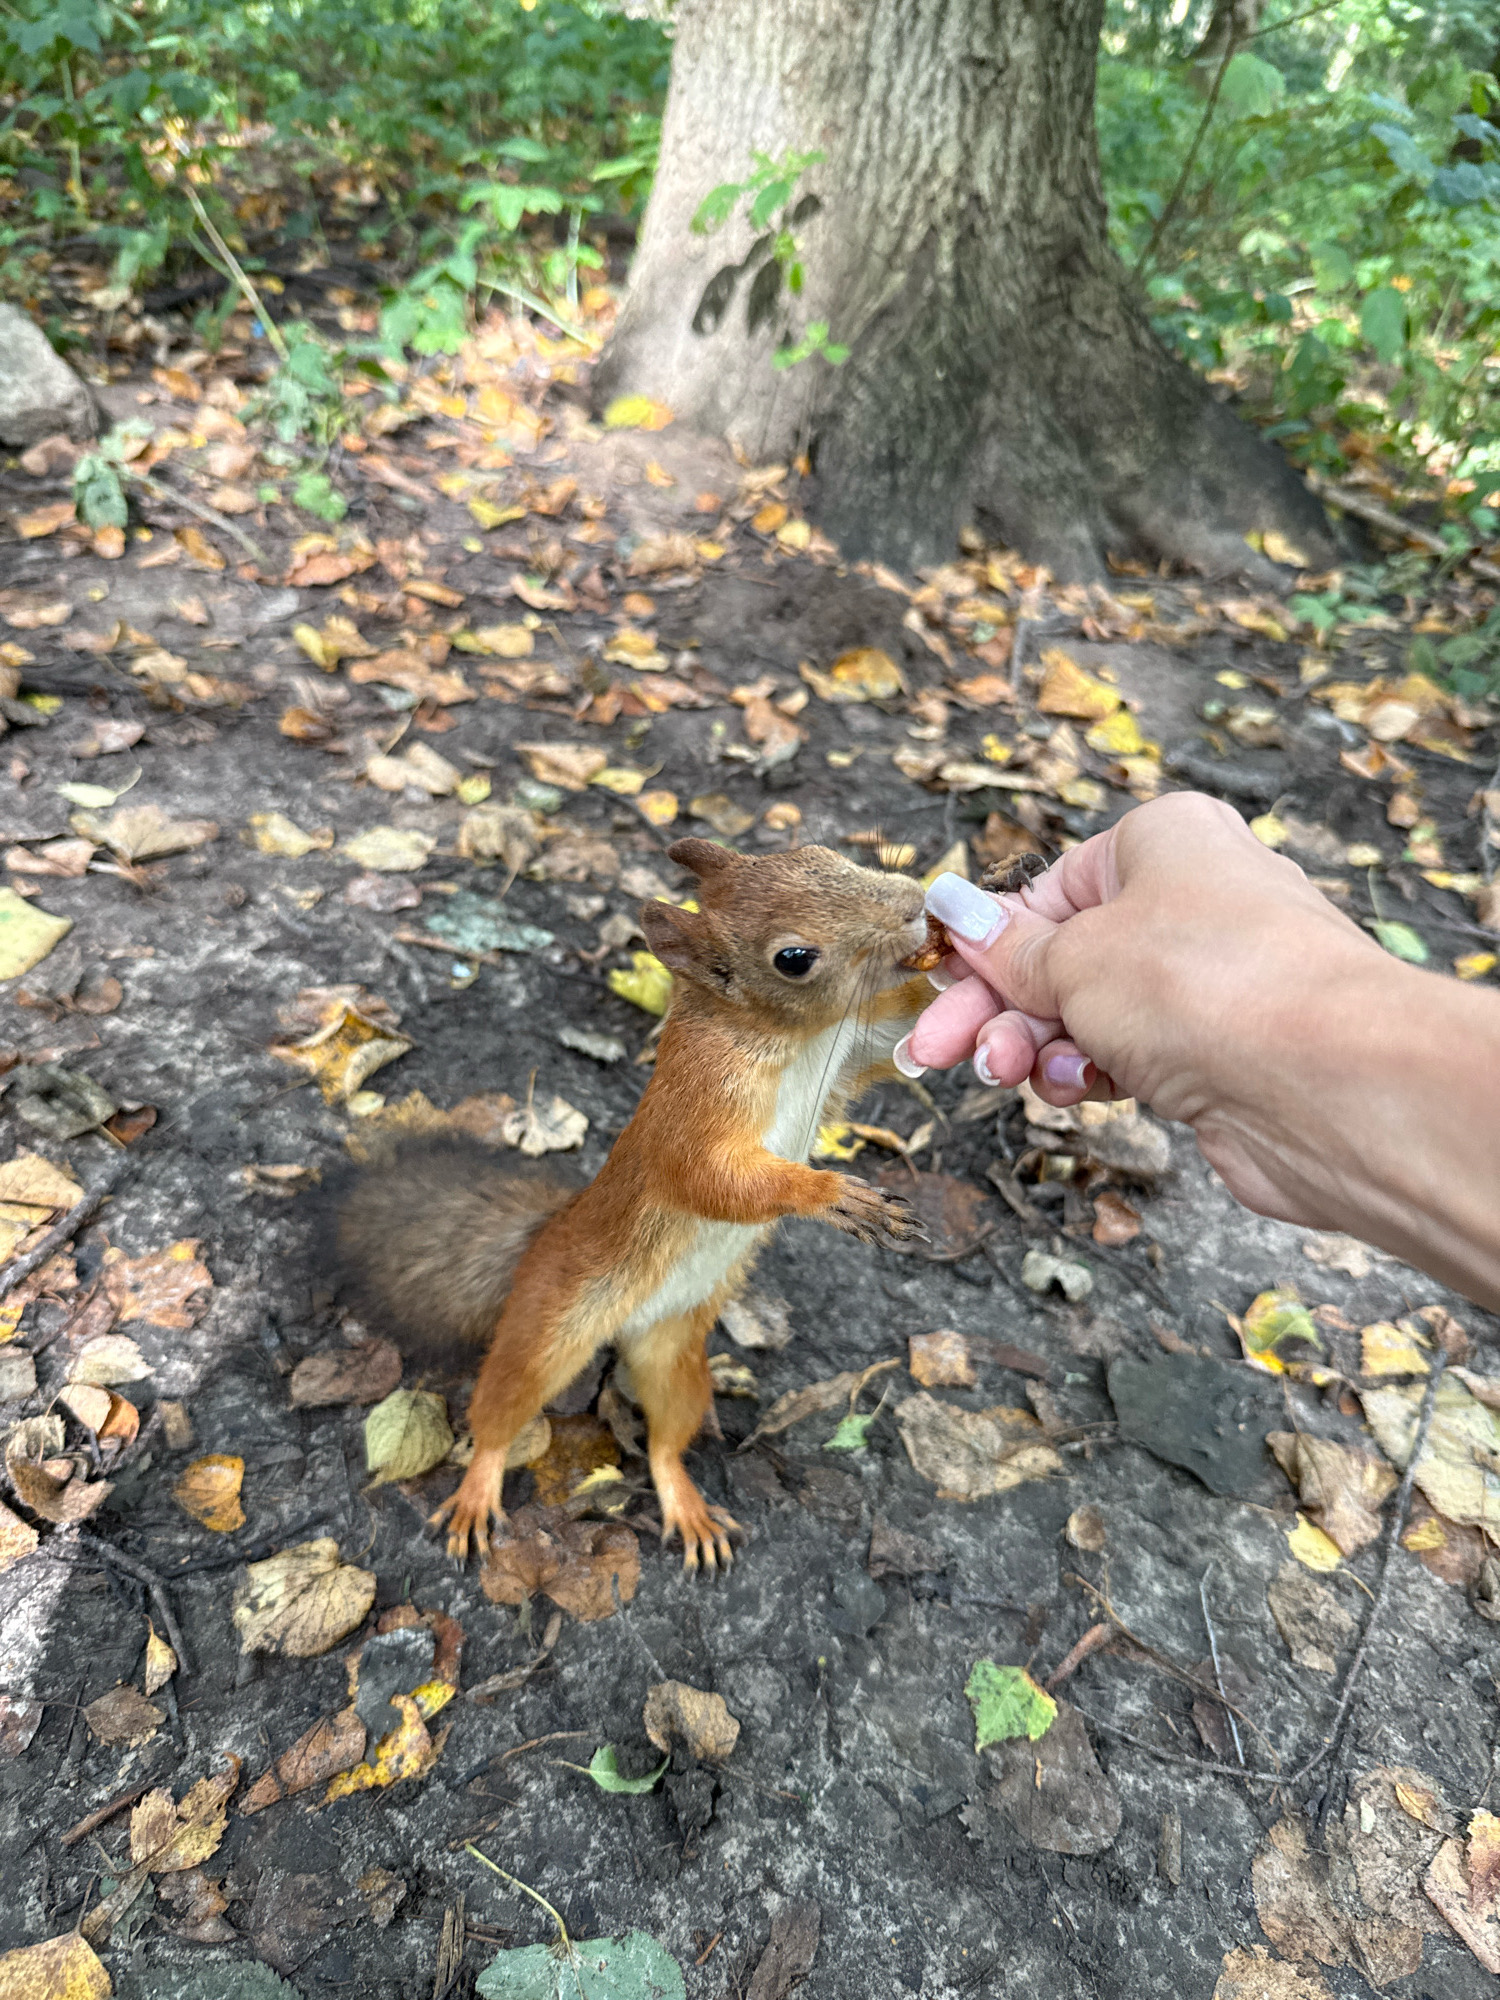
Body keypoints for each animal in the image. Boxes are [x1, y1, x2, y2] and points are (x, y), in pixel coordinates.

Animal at [334, 836, 936, 1573]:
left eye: (823, 853)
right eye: (794, 958)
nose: (913, 904)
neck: (792, 1039)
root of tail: (548, 1234)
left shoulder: (853, 1047)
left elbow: (908, 1019)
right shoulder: (691, 1111)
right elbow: (711, 1180)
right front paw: (832, 1197)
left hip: (673, 1356)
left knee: (663, 1442)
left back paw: (687, 1506)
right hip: (547, 1326)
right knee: (500, 1414)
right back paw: (478, 1490)